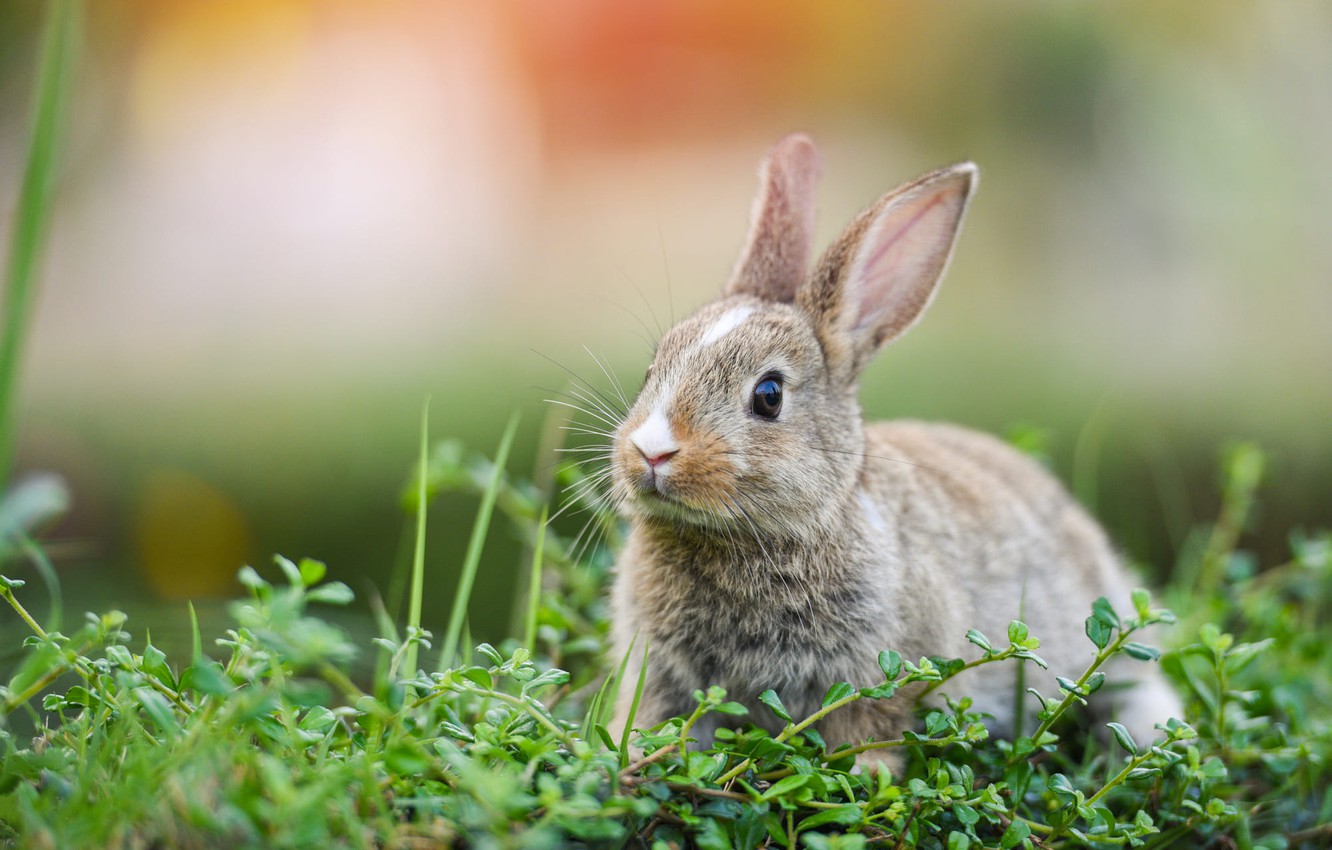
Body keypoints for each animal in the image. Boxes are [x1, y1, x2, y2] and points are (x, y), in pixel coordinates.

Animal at [604, 133, 1180, 770]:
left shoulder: (881, 675)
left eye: (769, 395)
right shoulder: (664, 679)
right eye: (654, 367)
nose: (652, 452)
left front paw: (867, 775)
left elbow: (869, 730)